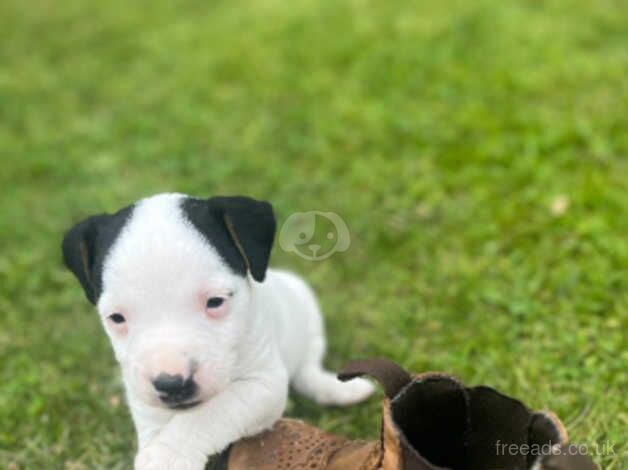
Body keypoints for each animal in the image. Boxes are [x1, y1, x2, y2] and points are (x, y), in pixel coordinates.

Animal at [61, 193, 376, 468]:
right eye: (116, 318)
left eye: (215, 301)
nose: (171, 384)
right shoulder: (143, 395)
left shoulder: (263, 384)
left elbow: (212, 411)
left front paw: (168, 454)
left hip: (305, 310)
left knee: (308, 368)